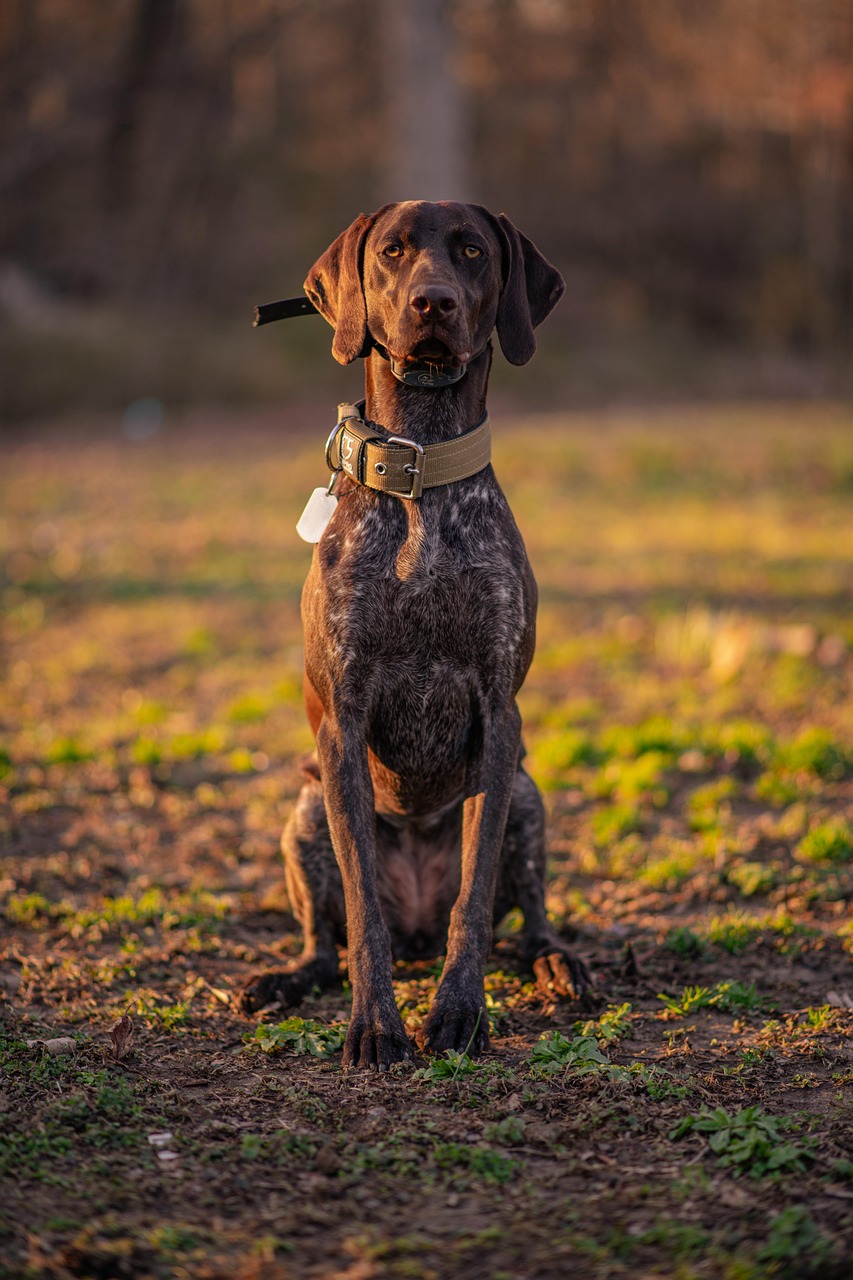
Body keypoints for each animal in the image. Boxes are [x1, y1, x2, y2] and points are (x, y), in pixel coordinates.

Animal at [244, 202, 591, 1070]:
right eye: (393, 252)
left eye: (469, 251)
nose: (432, 301)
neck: (420, 468)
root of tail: (417, 933)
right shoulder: (343, 722)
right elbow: (361, 910)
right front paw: (375, 1026)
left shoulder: (498, 717)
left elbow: (473, 897)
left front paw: (459, 1014)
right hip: (305, 810)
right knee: (324, 944)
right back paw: (281, 980)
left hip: (527, 798)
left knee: (527, 922)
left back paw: (557, 964)